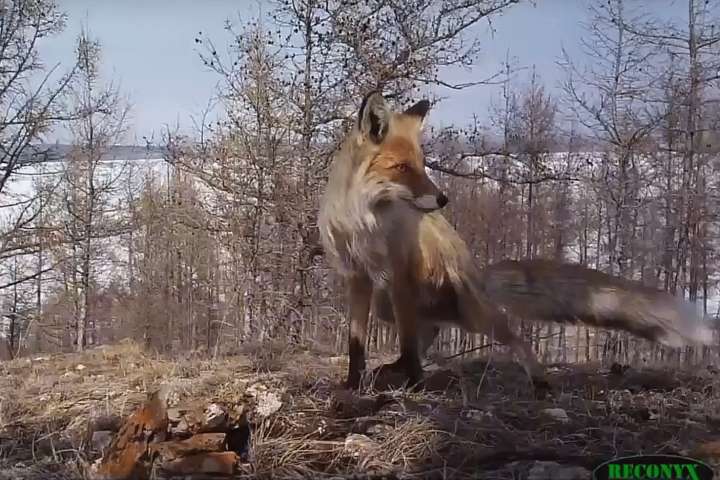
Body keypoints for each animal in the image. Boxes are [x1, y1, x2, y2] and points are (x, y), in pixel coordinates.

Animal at [320, 91, 716, 390]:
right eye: (402, 168)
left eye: (422, 164)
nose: (443, 200)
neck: (366, 221)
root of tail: (478, 274)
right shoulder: (358, 276)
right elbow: (357, 344)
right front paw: (353, 385)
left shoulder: (401, 270)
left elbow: (406, 345)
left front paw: (415, 386)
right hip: (387, 303)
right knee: (430, 328)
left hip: (466, 311)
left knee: (511, 336)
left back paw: (539, 381)